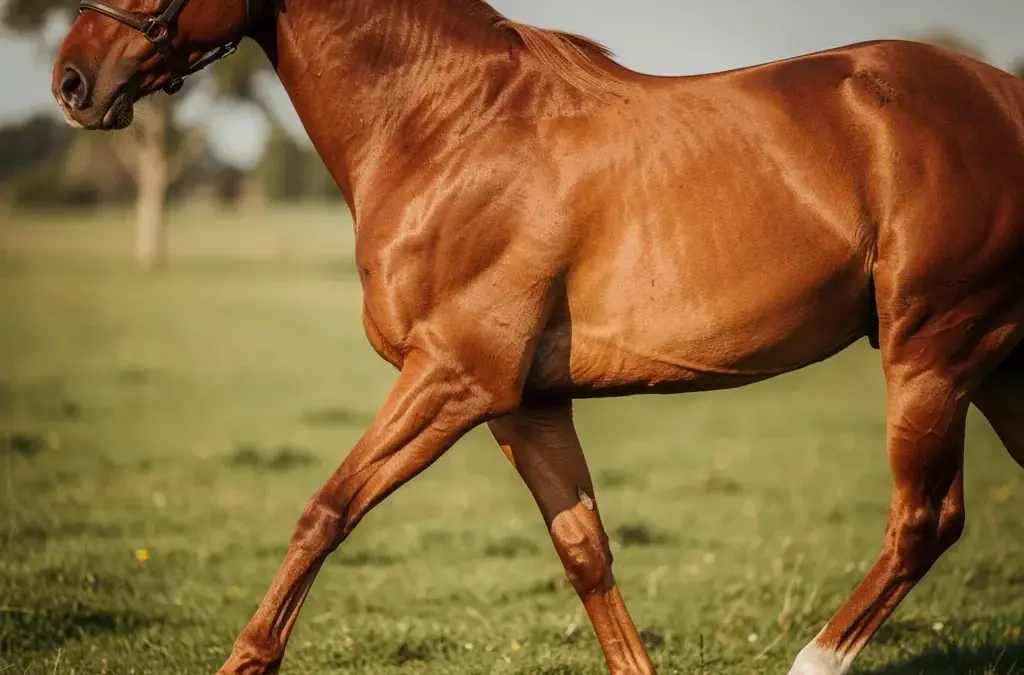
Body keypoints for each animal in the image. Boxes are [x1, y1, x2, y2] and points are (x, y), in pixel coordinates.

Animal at [51, 0, 1024, 673]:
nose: (71, 79)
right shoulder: (525, 403)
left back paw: (815, 658)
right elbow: (585, 551)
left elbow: (323, 513)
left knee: (923, 521)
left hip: (934, 351)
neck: (445, 126)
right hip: (996, 365)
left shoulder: (452, 377)